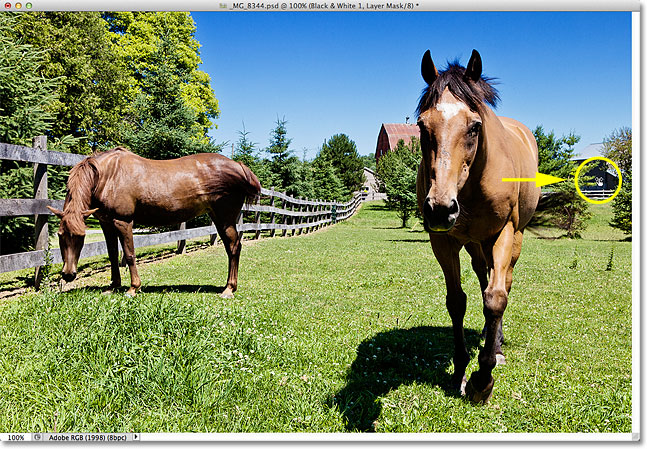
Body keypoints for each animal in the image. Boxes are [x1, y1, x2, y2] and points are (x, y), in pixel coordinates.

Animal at [48, 146, 262, 298]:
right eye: (60, 235)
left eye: (81, 236)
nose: (68, 274)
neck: (107, 176)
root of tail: (239, 166)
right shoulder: (106, 223)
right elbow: (112, 255)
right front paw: (113, 286)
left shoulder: (123, 222)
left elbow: (129, 254)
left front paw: (133, 289)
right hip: (218, 218)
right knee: (231, 247)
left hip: (225, 218)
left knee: (234, 247)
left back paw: (228, 289)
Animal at [416, 50, 540, 404]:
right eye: (422, 125)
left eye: (474, 126)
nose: (440, 208)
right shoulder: (443, 241)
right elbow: (457, 301)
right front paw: (460, 370)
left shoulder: (504, 233)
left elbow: (496, 299)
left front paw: (482, 379)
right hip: (475, 245)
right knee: (484, 277)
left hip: (512, 239)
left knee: (502, 284)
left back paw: (495, 344)